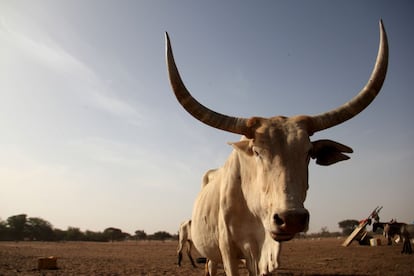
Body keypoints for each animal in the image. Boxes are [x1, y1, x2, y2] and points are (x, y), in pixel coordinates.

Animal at [165, 20, 388, 276]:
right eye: (257, 152)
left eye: (308, 153)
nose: (290, 218)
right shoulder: (228, 251)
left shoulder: (262, 256)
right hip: (211, 252)